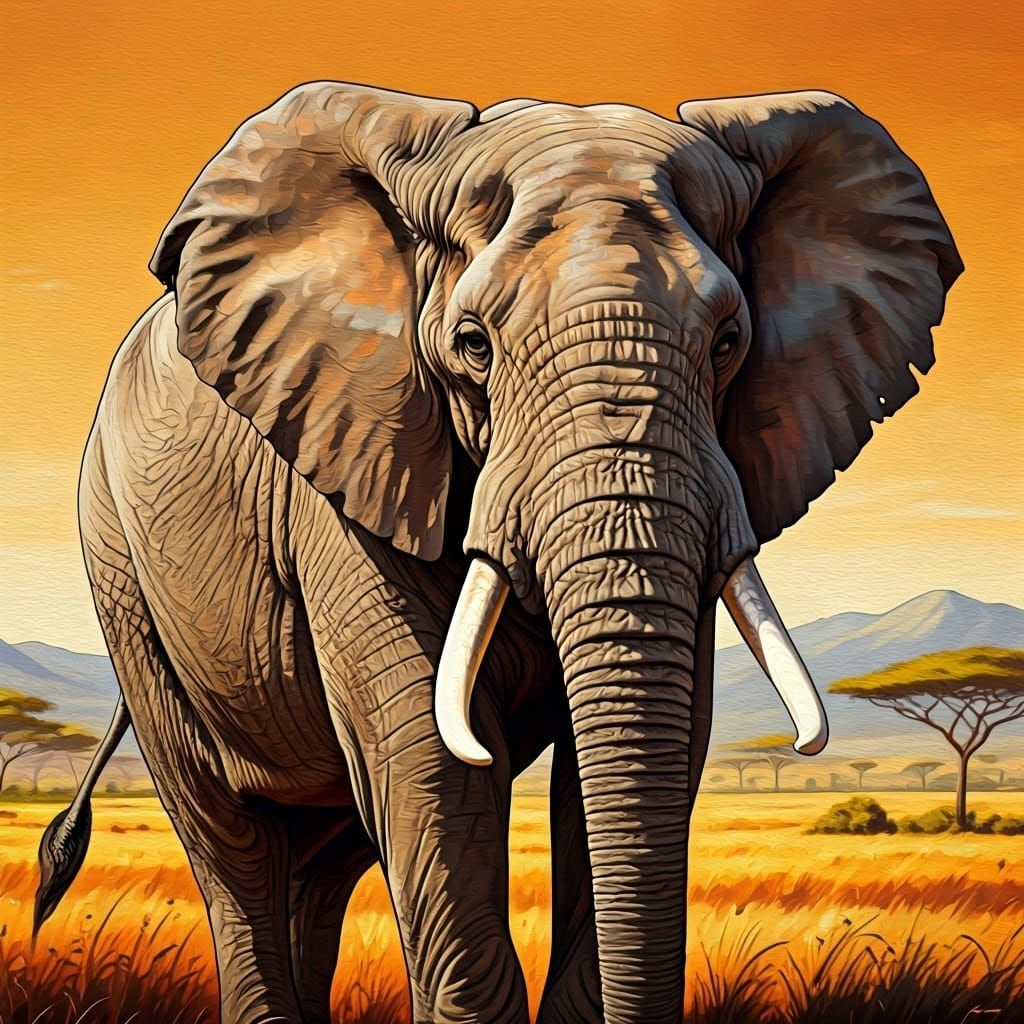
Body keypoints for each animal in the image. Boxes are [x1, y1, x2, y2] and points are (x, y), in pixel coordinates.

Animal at [34, 82, 960, 1024]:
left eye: (729, 342)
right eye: (473, 345)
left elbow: (631, 755)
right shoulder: (356, 460)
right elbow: (431, 761)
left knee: (322, 864)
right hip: (121, 568)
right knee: (231, 843)